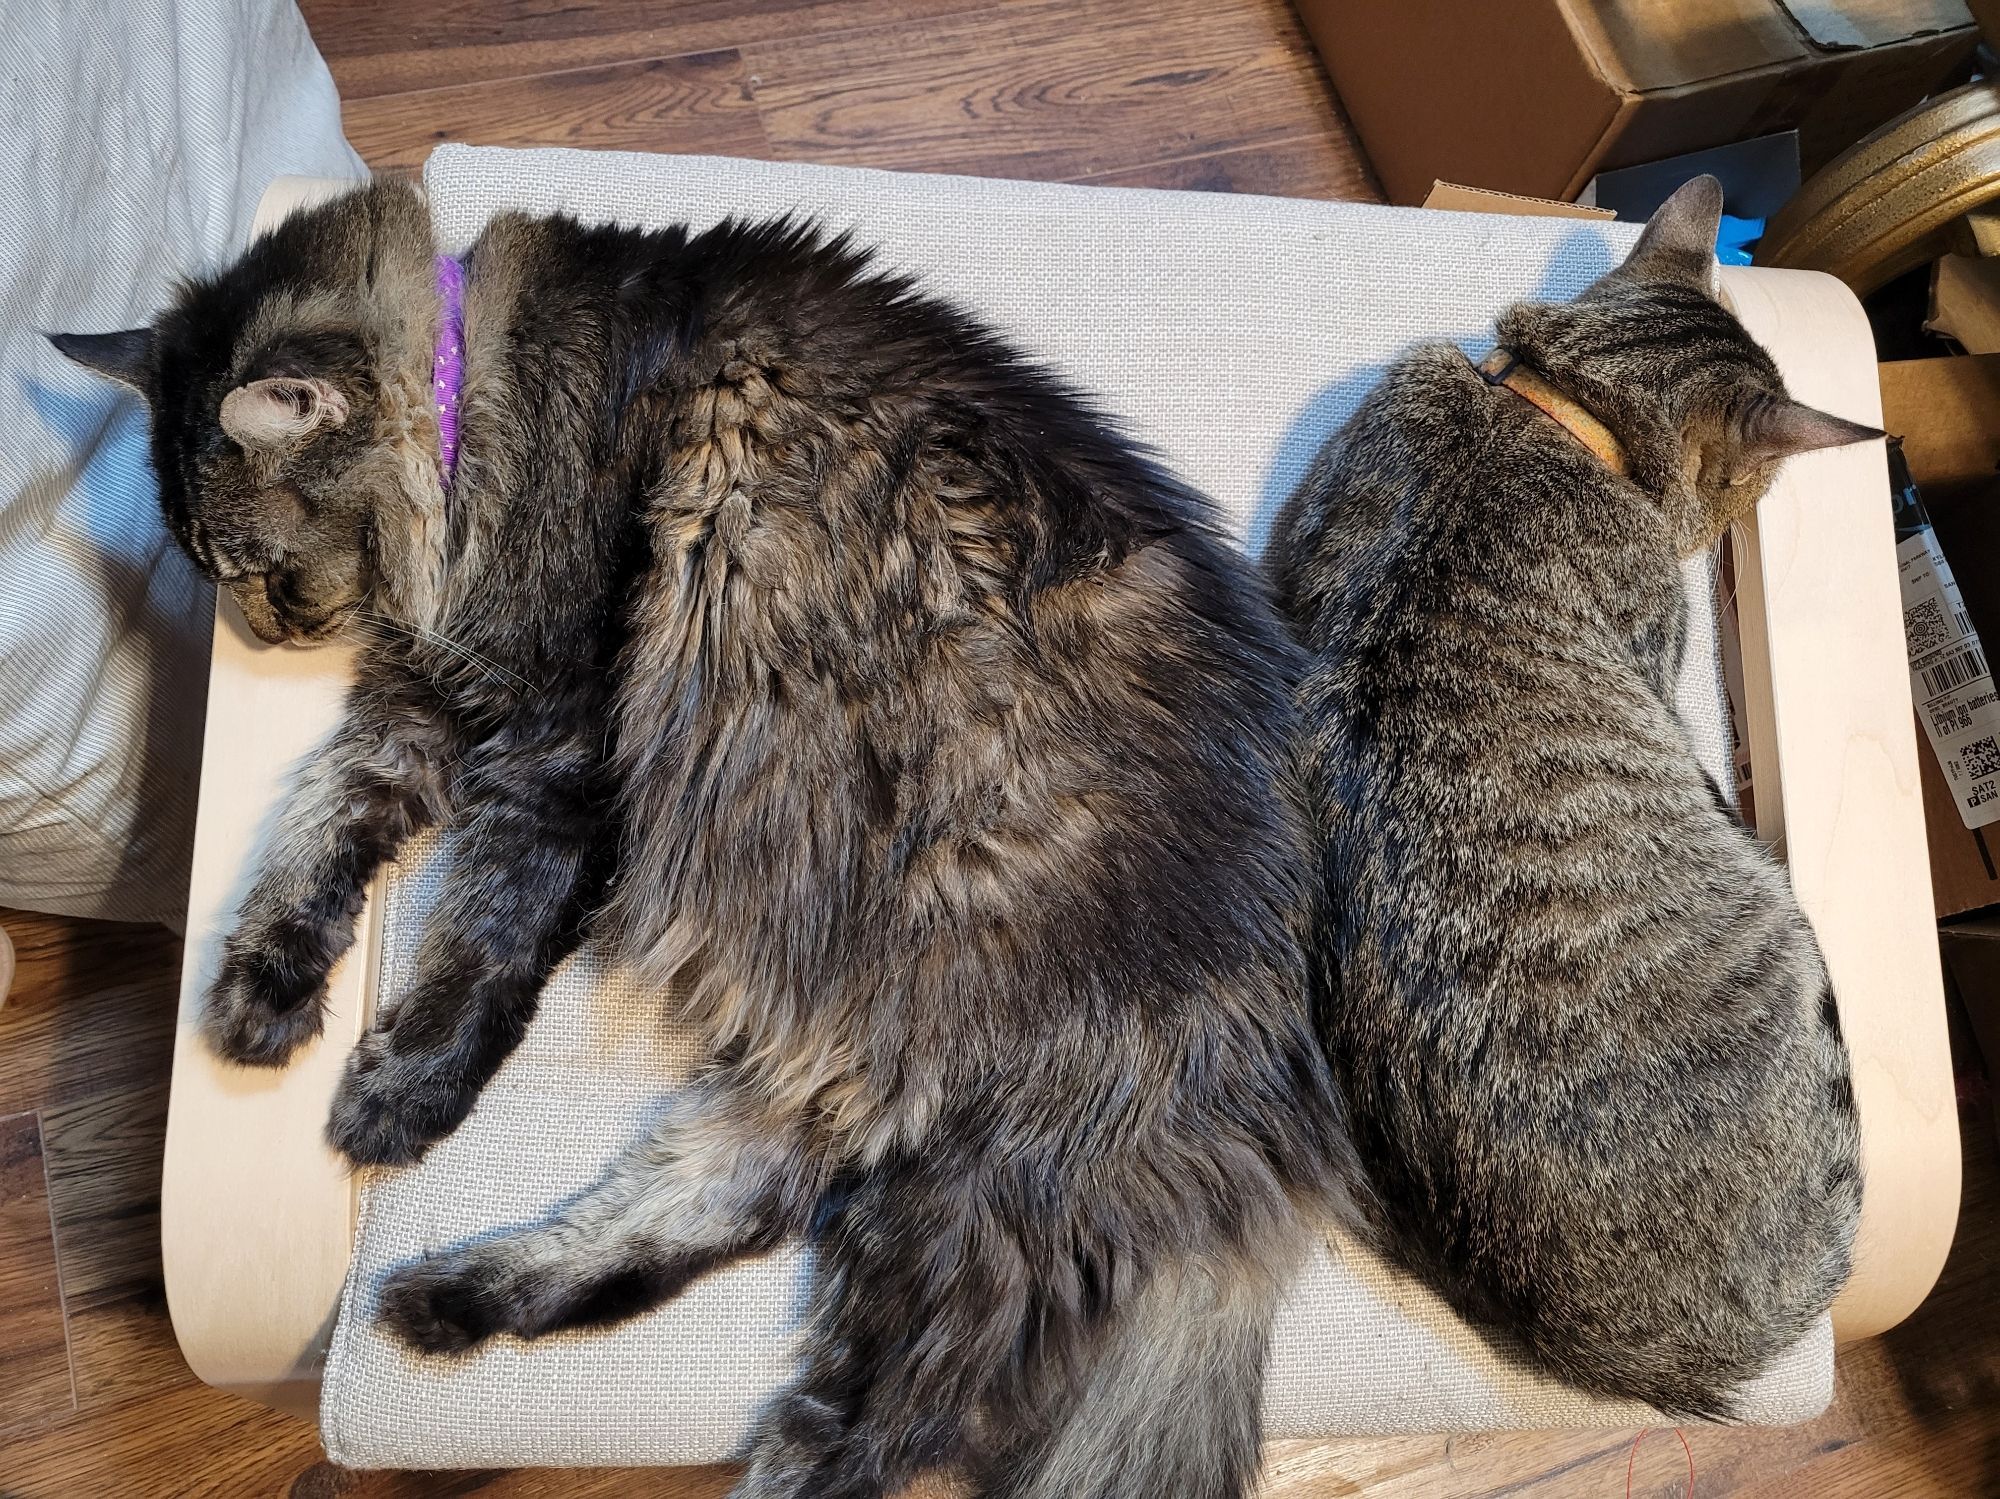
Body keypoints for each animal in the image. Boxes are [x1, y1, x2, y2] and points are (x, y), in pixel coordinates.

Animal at [54, 181, 1360, 1495]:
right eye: (221, 572)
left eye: (257, 571)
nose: (265, 636)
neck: (482, 396)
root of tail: (1264, 1115)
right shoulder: (412, 716)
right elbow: (314, 822)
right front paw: (257, 994)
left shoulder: (559, 743)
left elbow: (479, 943)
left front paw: (402, 1093)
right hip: (853, 1084)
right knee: (714, 1208)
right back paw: (449, 1298)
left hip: (968, 1179)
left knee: (886, 1415)